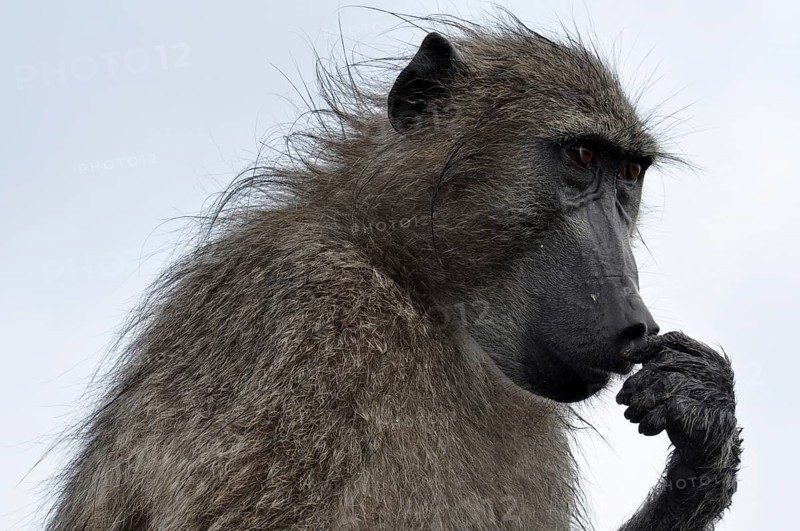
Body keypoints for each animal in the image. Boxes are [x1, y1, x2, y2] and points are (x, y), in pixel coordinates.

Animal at [46, 14, 741, 531]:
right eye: (581, 156)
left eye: (629, 175)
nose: (635, 324)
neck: (413, 284)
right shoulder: (308, 315)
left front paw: (703, 426)